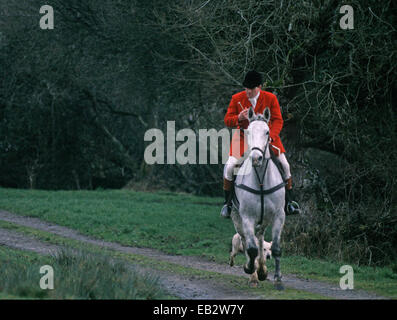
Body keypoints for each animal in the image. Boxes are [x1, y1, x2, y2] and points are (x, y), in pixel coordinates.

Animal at [232, 106, 284, 288]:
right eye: (248, 131)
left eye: (267, 132)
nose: (256, 158)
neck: (261, 180)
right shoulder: (247, 217)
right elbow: (251, 248)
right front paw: (250, 269)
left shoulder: (279, 216)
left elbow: (275, 248)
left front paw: (277, 279)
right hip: (238, 217)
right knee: (246, 240)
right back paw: (254, 273)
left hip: (264, 219)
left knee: (260, 237)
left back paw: (261, 269)